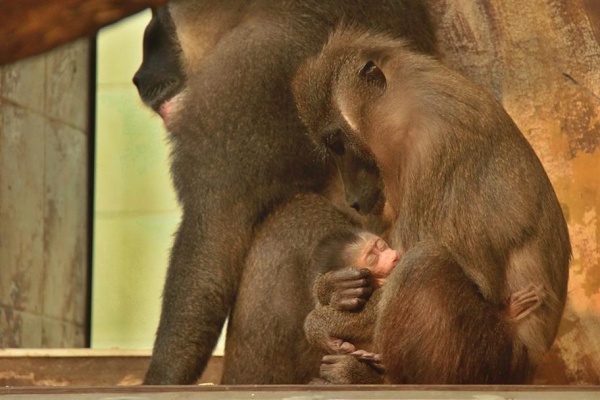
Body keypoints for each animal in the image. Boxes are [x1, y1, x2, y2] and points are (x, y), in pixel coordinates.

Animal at [294, 28, 572, 384]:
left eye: (338, 143)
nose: (353, 198)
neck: (410, 104)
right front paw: (333, 288)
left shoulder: (433, 146)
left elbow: (405, 260)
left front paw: (320, 322)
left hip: (487, 361)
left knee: (425, 262)